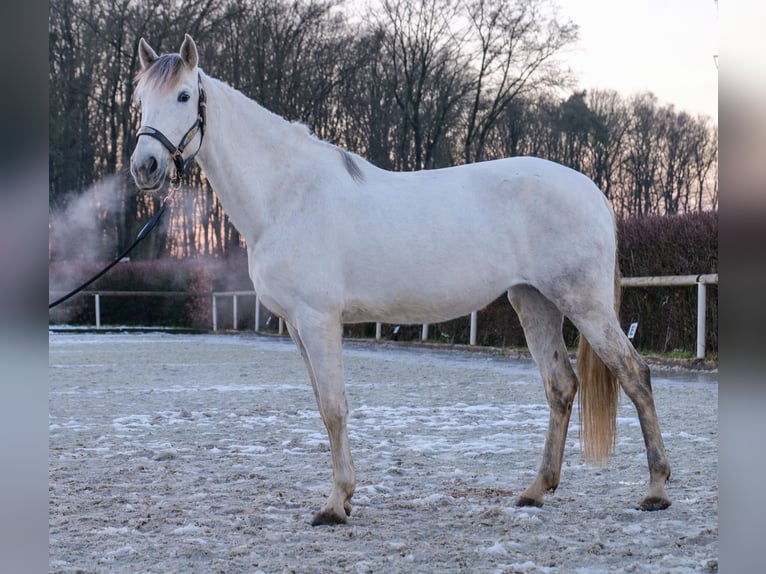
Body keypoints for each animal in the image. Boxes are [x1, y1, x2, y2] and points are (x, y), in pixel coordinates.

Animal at [132, 32, 672, 528]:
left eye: (184, 96)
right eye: (140, 98)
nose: (145, 166)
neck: (288, 196)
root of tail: (594, 192)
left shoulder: (318, 320)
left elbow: (334, 407)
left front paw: (335, 504)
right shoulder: (296, 326)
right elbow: (322, 405)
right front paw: (345, 497)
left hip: (584, 303)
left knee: (635, 375)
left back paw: (655, 491)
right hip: (533, 301)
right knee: (560, 386)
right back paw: (535, 491)